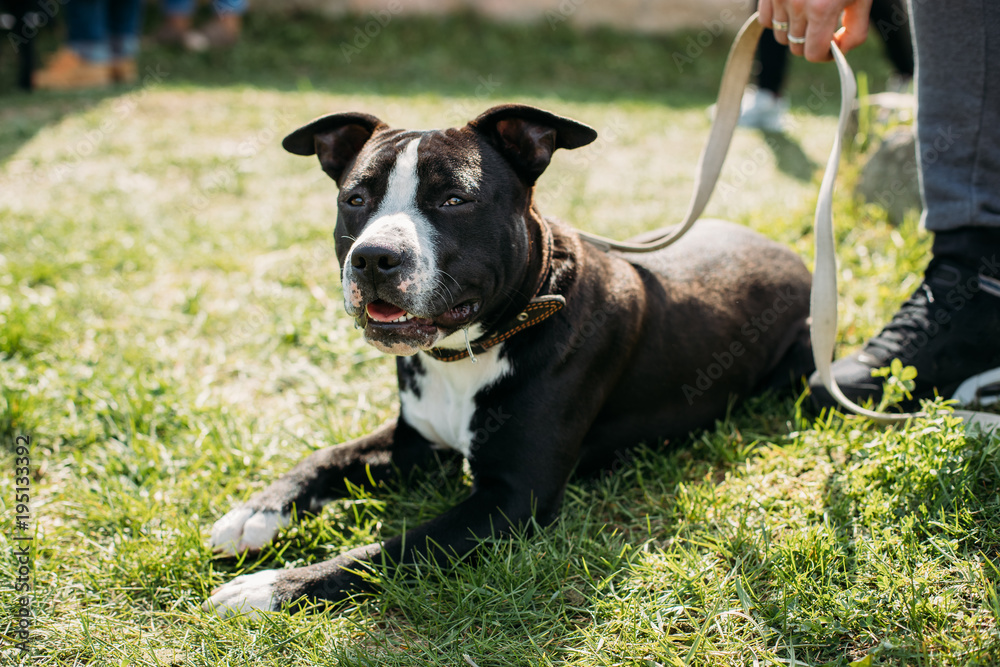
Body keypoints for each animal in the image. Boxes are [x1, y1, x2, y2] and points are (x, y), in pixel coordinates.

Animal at [201, 104, 812, 620]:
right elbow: (324, 458)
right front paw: (254, 514)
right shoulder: (416, 441)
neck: (470, 349)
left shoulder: (513, 498)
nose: (373, 257)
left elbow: (387, 548)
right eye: (354, 199)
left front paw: (271, 586)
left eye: (454, 200)